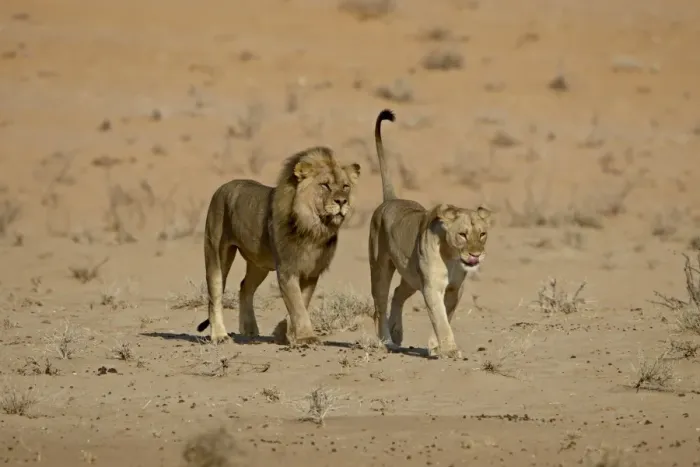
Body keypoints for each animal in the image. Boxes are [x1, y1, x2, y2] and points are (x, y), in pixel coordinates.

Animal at [196, 146, 361, 345]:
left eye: (345, 186)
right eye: (325, 185)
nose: (342, 201)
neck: (314, 228)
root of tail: (222, 188)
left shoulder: (311, 272)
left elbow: (301, 303)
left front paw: (287, 334)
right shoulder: (286, 269)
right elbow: (297, 305)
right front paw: (306, 337)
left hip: (259, 265)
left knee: (245, 287)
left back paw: (249, 330)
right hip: (216, 253)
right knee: (215, 294)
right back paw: (219, 335)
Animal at [368, 109, 491, 358]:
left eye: (482, 234)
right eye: (463, 235)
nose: (476, 255)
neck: (453, 257)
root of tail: (391, 199)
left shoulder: (454, 289)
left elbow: (445, 316)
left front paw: (435, 346)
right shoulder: (432, 286)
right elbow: (440, 319)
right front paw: (450, 350)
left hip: (411, 276)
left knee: (397, 293)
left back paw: (397, 332)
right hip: (380, 269)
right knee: (380, 303)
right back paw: (387, 340)